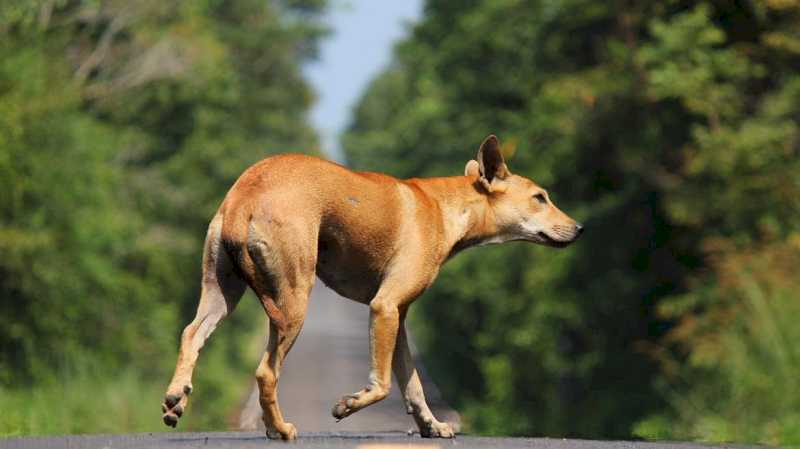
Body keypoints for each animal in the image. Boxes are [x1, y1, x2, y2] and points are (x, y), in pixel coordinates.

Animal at [161, 135, 580, 440]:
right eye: (540, 197)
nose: (579, 228)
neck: (448, 206)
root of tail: (244, 194)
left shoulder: (399, 316)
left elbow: (412, 384)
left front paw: (431, 426)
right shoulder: (384, 306)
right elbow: (381, 384)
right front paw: (347, 405)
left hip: (222, 293)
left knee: (191, 334)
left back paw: (176, 399)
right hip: (294, 300)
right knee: (266, 372)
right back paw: (279, 428)